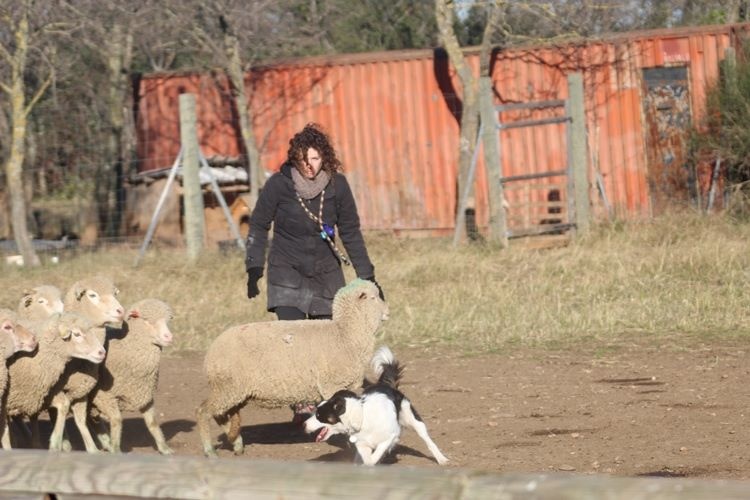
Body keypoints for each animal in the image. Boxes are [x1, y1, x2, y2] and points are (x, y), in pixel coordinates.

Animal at [44, 278, 125, 454]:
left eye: (115, 293)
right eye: (92, 295)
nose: (120, 311)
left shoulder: (81, 393)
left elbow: (80, 420)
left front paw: (93, 448)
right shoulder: (53, 391)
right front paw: (61, 444)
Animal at [89, 298, 176, 456]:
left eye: (168, 321)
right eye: (147, 320)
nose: (169, 337)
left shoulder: (145, 394)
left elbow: (153, 422)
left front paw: (164, 448)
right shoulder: (104, 396)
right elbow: (117, 420)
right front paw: (116, 449)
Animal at [197, 278, 390, 458]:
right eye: (373, 297)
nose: (388, 312)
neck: (345, 334)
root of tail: (211, 352)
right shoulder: (332, 385)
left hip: (234, 391)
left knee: (220, 415)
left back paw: (236, 442)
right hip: (227, 386)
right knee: (203, 412)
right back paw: (210, 450)